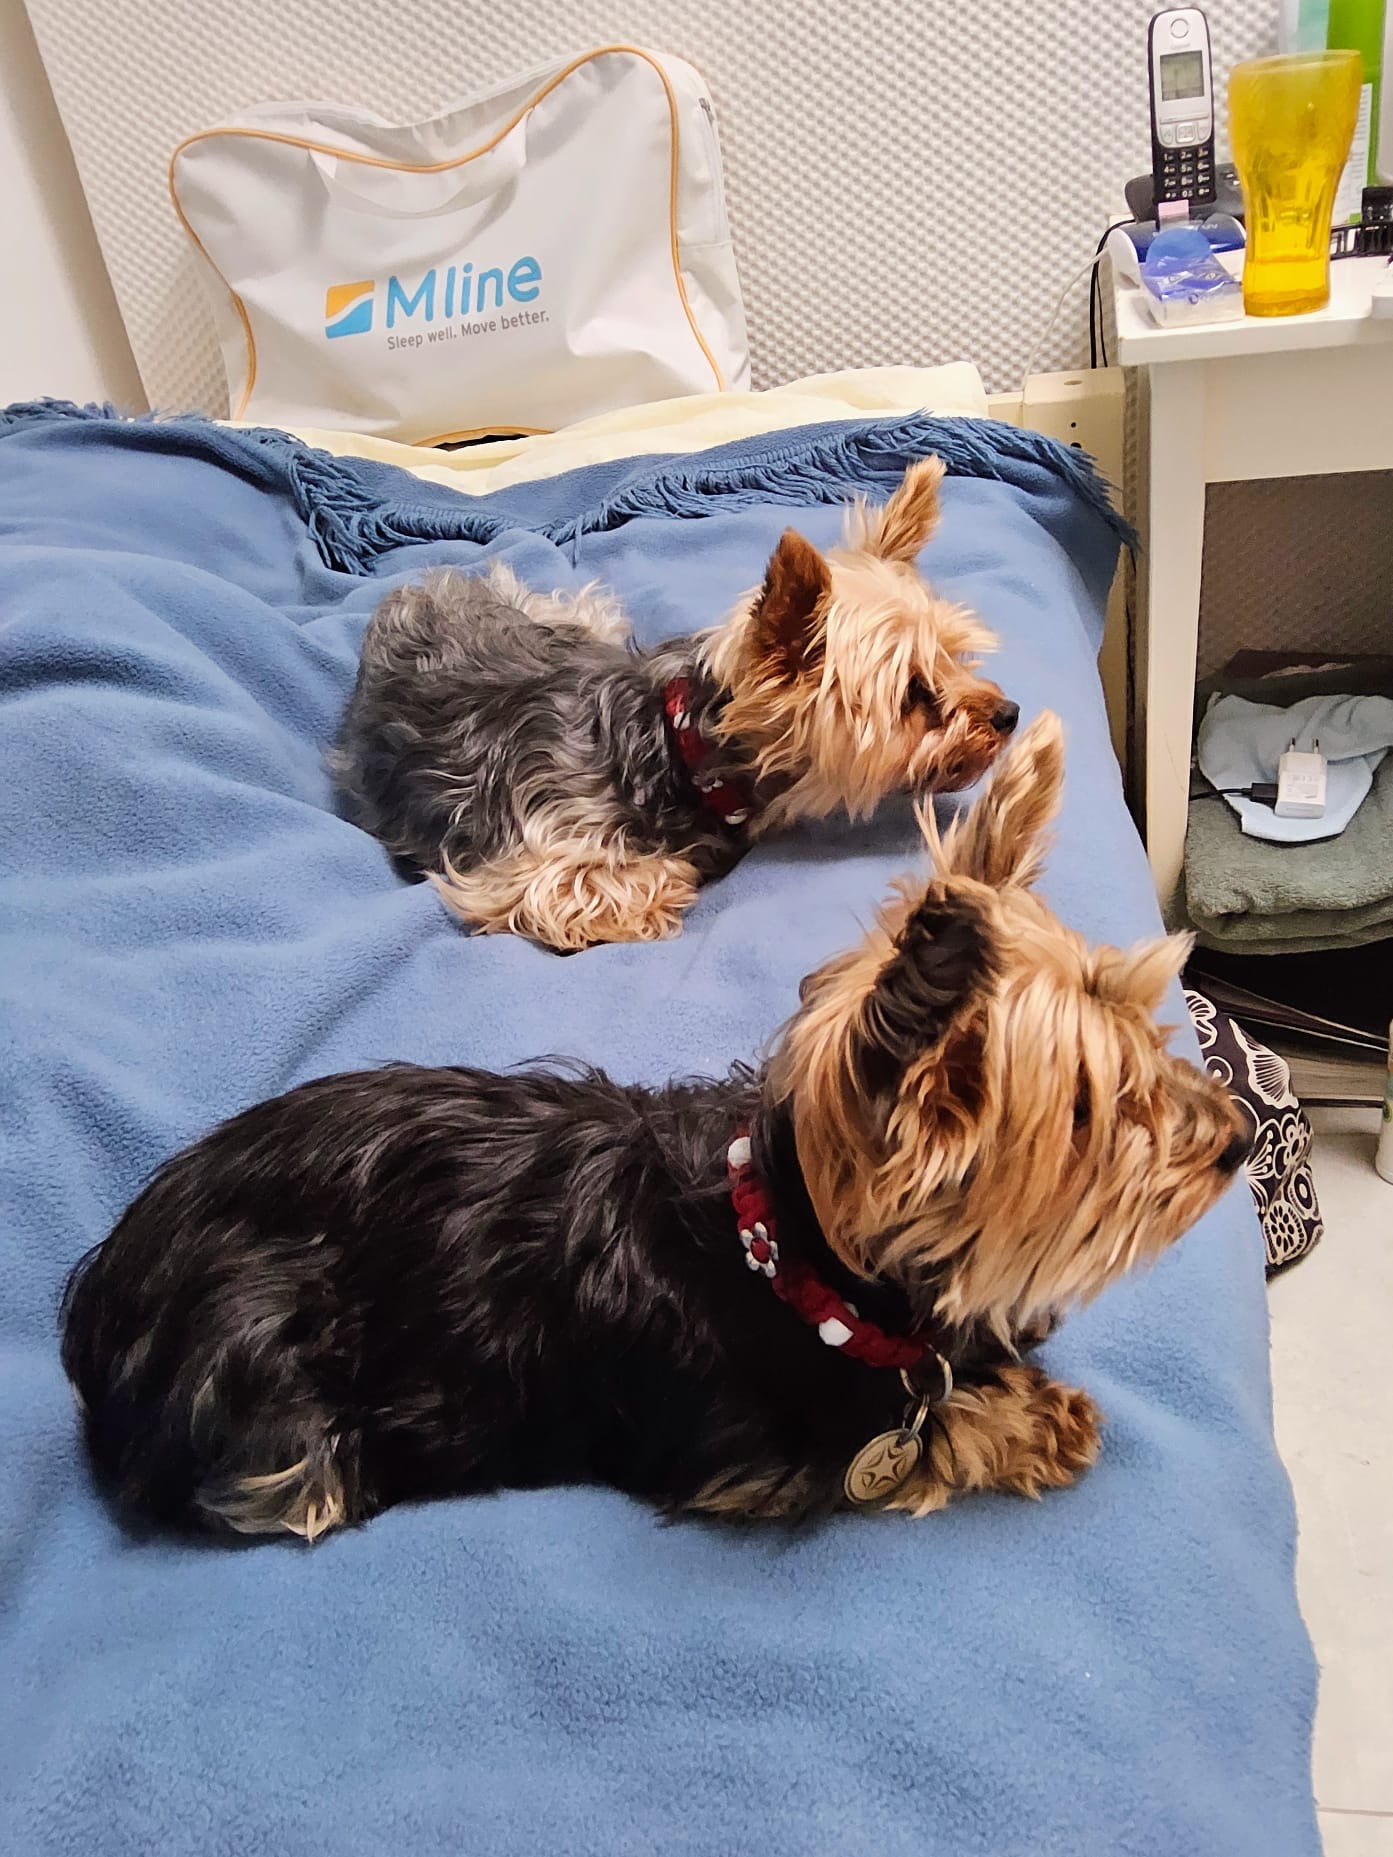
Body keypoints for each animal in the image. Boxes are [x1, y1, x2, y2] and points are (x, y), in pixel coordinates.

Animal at [61, 714, 1248, 1541]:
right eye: (1096, 1109)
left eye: (1151, 1037)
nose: (1236, 1136)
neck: (791, 1257)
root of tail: (105, 1293)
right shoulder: (762, 1462)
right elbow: (910, 1443)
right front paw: (1025, 1419)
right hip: (259, 1388)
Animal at [333, 456, 1019, 952]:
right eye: (913, 694)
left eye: (956, 657)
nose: (1009, 715)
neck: (675, 749)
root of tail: (422, 585)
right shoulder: (528, 861)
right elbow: (598, 885)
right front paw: (680, 876)